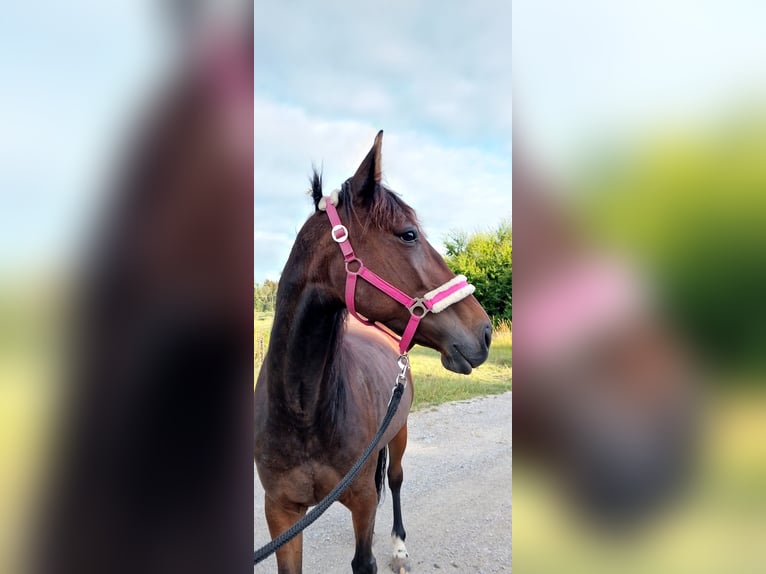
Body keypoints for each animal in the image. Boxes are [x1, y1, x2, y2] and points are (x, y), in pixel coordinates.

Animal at [254, 131, 493, 573]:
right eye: (408, 234)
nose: (484, 332)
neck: (302, 411)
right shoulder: (280, 513)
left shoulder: (362, 501)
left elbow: (365, 557)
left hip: (399, 433)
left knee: (395, 480)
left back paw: (399, 545)